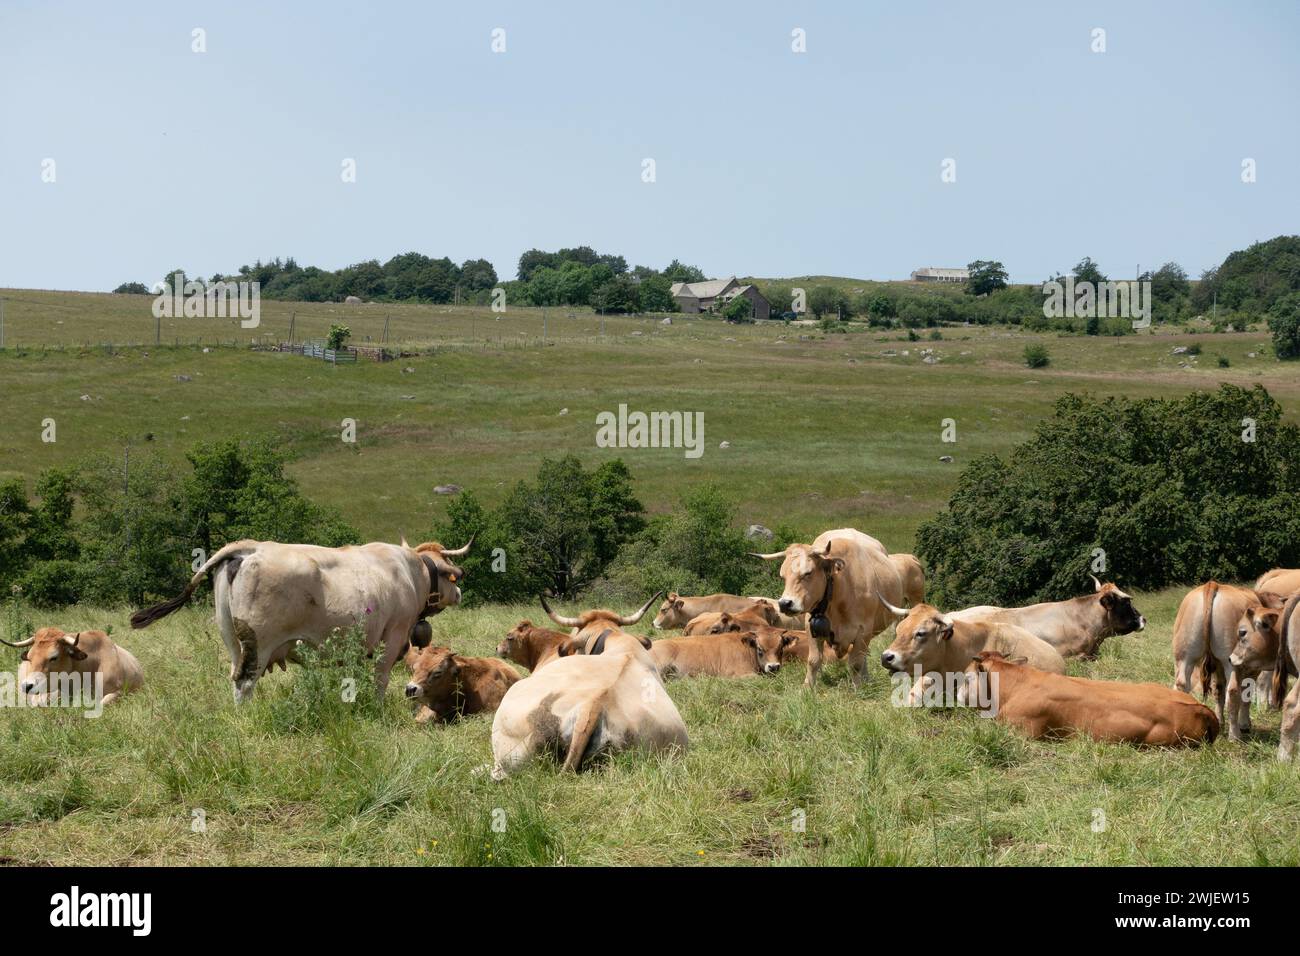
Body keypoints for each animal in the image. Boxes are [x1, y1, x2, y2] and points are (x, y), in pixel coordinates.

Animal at [129, 536, 471, 703]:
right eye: (450, 574)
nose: (459, 592)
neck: (412, 573)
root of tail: (252, 548)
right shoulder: (393, 636)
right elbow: (380, 679)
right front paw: (378, 707)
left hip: (232, 639)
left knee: (234, 678)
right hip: (258, 642)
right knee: (244, 683)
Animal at [752, 528, 908, 688]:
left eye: (808, 573)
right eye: (783, 576)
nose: (784, 603)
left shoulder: (863, 631)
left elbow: (856, 664)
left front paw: (858, 688)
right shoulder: (812, 628)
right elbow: (813, 661)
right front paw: (807, 688)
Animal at [1172, 581, 1286, 740]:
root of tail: (1213, 584)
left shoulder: (1218, 667)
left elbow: (1218, 690)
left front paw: (1219, 722)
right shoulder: (1251, 668)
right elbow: (1246, 694)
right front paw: (1244, 724)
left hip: (1183, 657)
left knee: (1181, 685)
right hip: (1231, 662)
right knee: (1232, 691)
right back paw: (1235, 735)